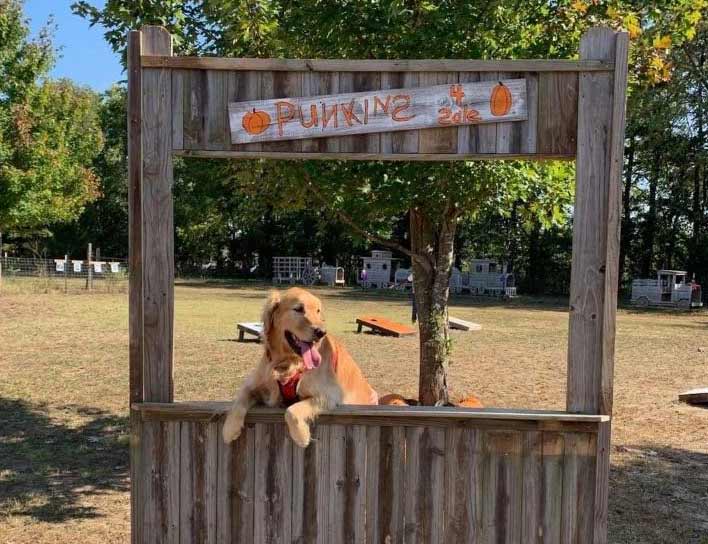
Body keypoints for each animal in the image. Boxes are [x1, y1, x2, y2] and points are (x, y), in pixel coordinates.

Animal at [224, 286, 378, 448]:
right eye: (298, 309)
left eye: (318, 311)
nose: (321, 332)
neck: (289, 362)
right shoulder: (254, 384)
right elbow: (238, 402)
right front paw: (229, 430)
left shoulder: (330, 394)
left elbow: (291, 410)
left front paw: (301, 436)